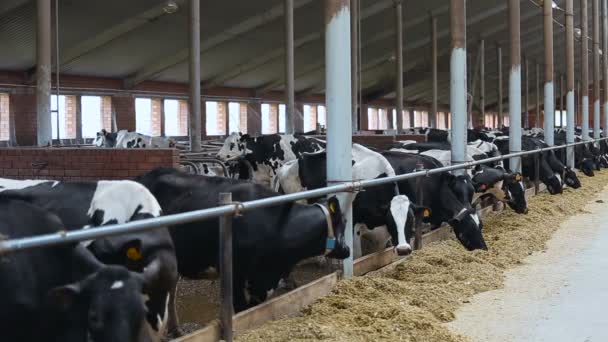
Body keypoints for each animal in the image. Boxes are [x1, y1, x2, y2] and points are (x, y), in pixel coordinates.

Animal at [274, 143, 430, 258]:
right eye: (391, 220)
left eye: (411, 220)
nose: (403, 249)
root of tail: (288, 164)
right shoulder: (353, 223)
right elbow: (357, 256)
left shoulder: (380, 231)